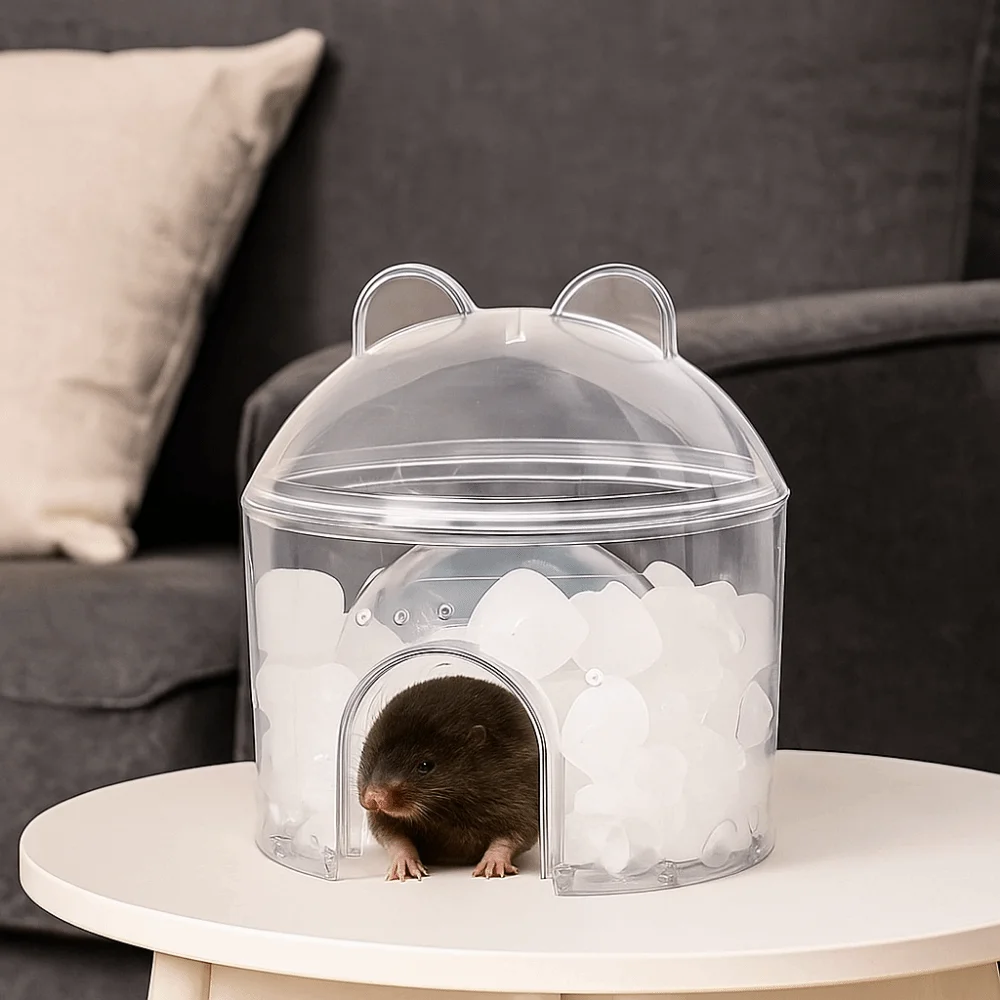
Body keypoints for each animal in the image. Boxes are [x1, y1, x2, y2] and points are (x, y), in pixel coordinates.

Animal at [357, 675, 539, 880]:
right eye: (375, 756)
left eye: (425, 766)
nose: (373, 799)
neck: (445, 807)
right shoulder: (382, 817)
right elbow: (392, 836)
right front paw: (405, 864)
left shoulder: (520, 795)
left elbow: (517, 834)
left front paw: (492, 864)